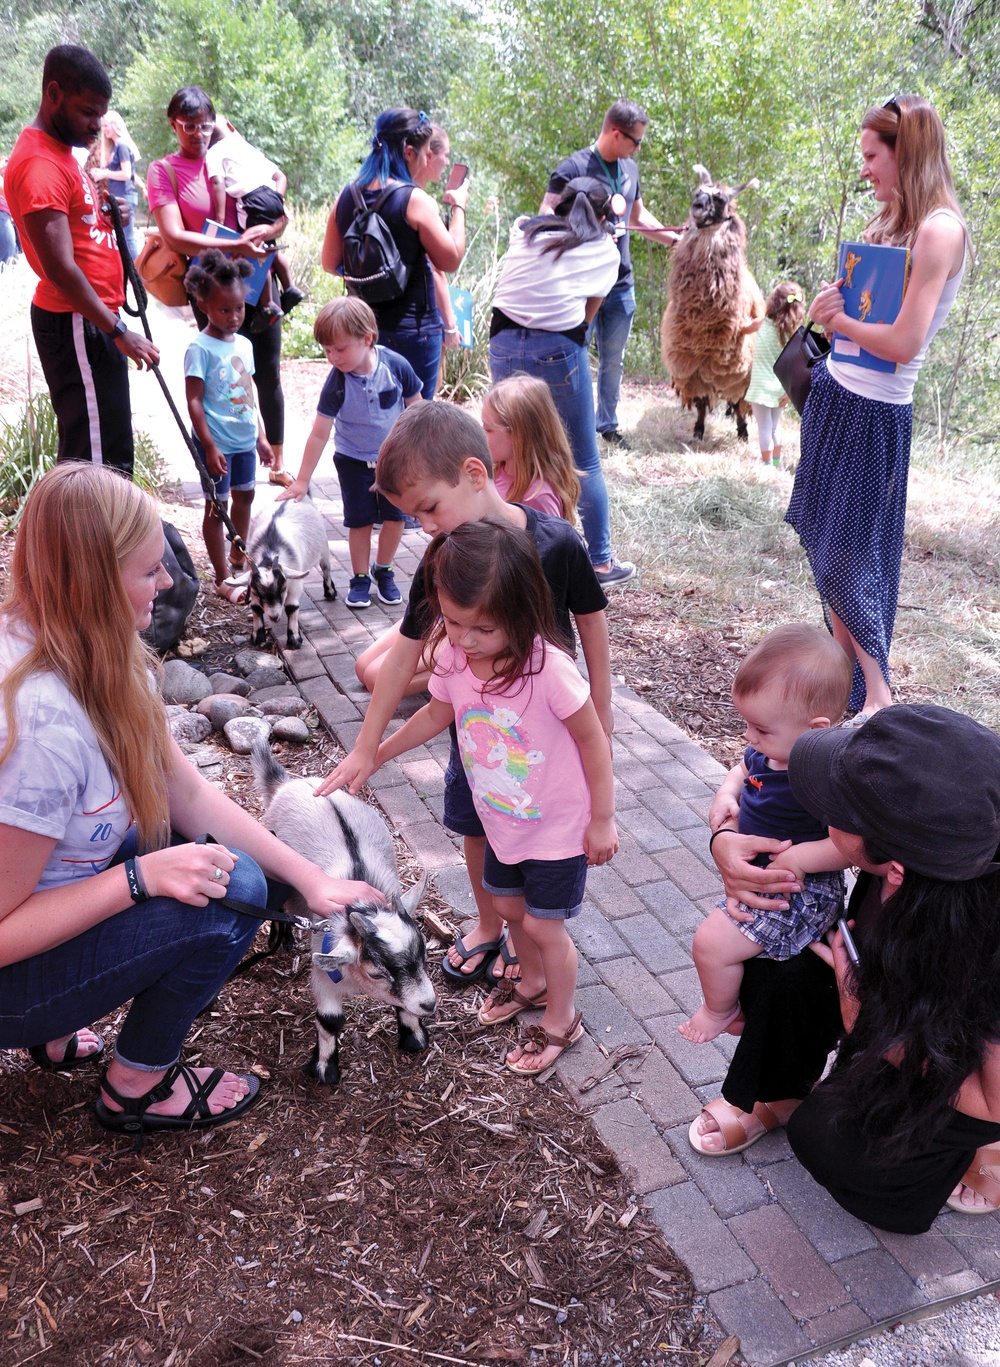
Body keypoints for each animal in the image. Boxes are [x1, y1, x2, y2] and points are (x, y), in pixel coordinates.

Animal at [251, 743, 434, 1082]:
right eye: (377, 972)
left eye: (424, 955)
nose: (430, 1004)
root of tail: (288, 783)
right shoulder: (323, 969)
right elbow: (330, 1020)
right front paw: (324, 1070)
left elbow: (405, 1006)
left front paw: (414, 1036)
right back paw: (283, 939)